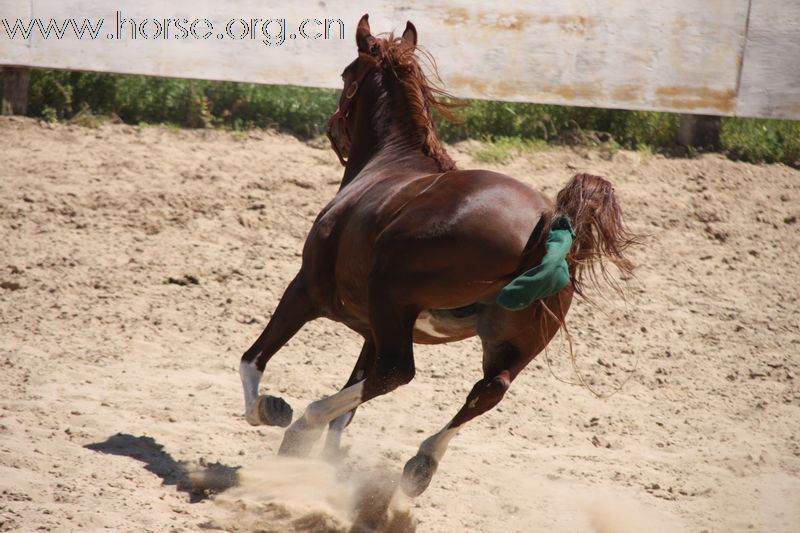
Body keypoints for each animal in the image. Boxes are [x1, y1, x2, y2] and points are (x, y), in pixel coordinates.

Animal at [238, 13, 636, 494]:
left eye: (347, 75)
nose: (334, 133)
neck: (389, 163)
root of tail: (548, 223)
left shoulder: (307, 290)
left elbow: (254, 358)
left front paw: (270, 409)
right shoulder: (371, 328)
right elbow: (348, 409)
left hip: (390, 294)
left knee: (397, 372)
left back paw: (305, 423)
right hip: (508, 343)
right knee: (486, 390)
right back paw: (420, 463)